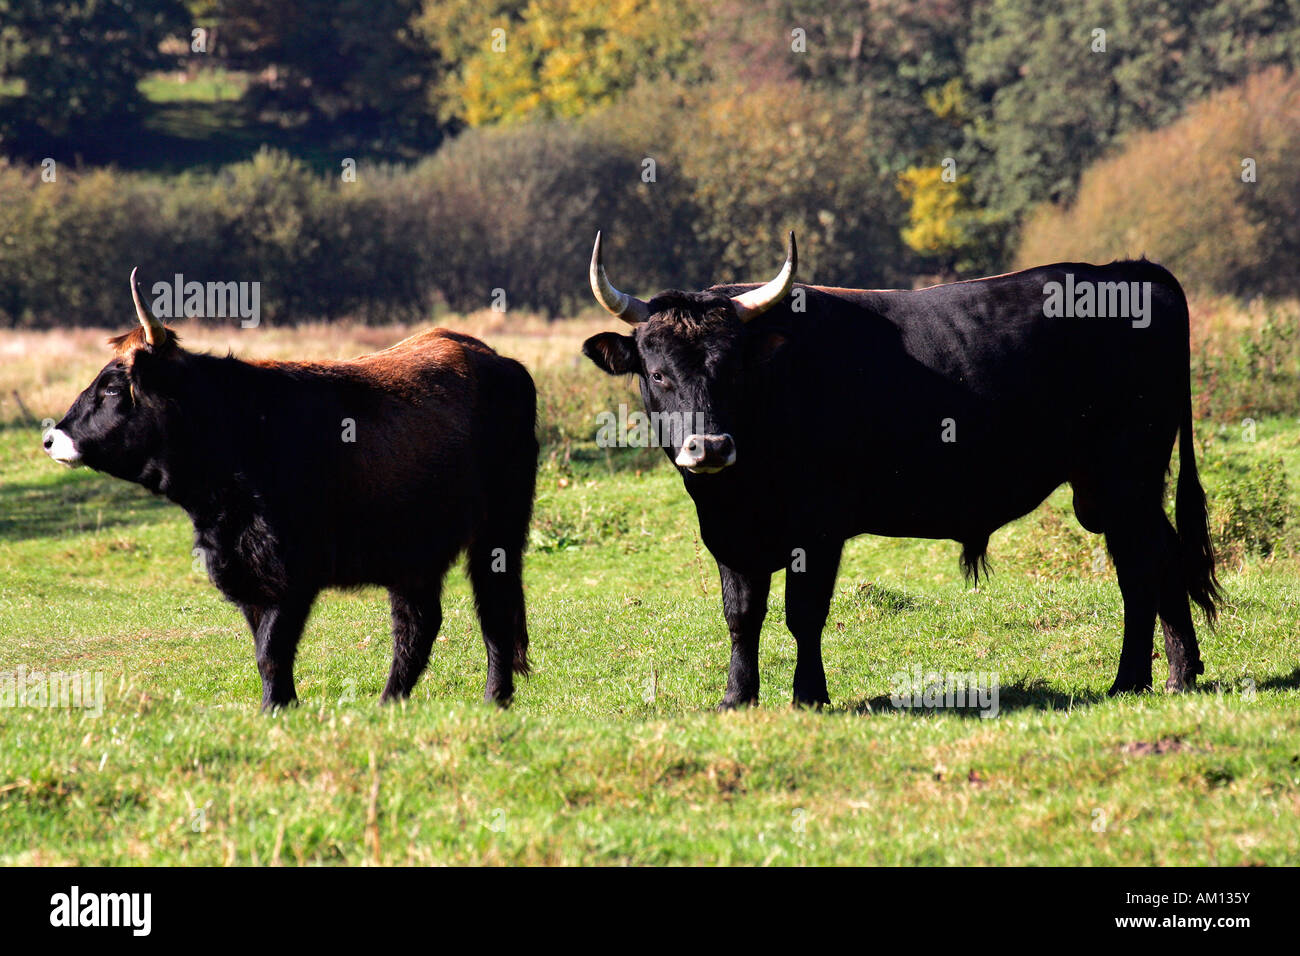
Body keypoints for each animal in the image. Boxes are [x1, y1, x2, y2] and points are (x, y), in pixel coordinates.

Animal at [585, 251, 1222, 707]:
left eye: (734, 367)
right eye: (658, 373)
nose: (711, 446)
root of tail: (1126, 271)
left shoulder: (817, 531)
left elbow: (803, 614)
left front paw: (809, 696)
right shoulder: (731, 536)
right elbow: (742, 616)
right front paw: (736, 699)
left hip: (1126, 478)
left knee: (1146, 565)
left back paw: (1148, 679)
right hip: (1110, 489)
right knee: (1153, 560)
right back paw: (1162, 677)